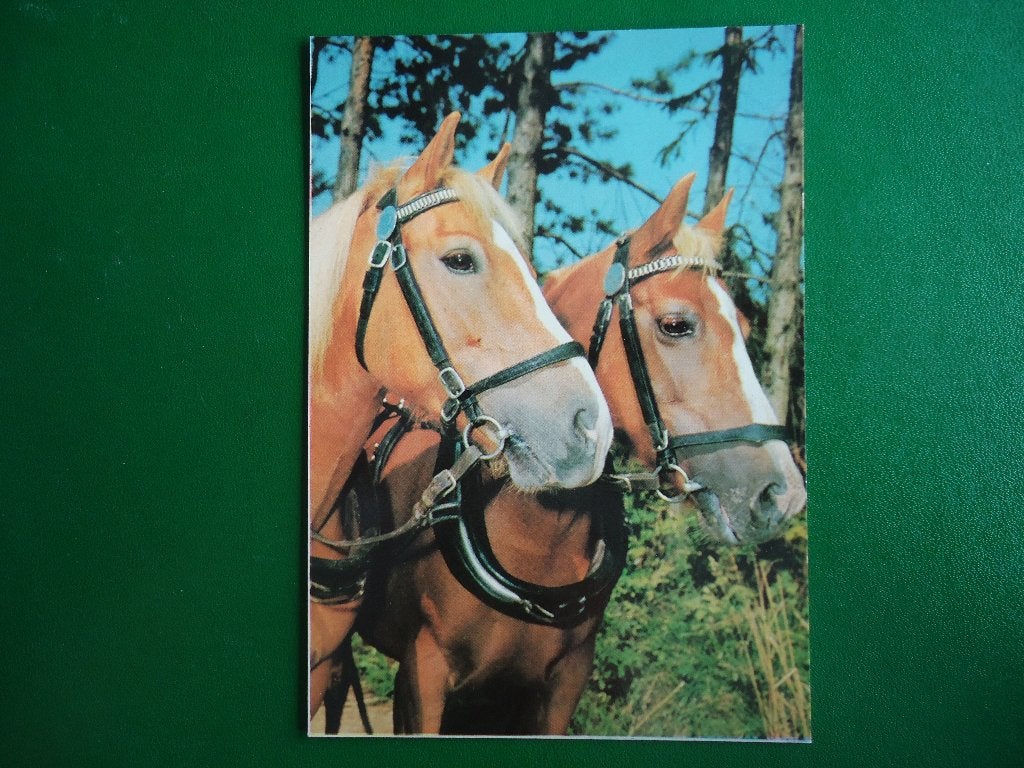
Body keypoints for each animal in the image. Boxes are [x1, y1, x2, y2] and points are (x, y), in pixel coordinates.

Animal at [346, 172, 806, 734]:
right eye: (676, 325)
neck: (539, 531)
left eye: (743, 325)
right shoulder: (423, 677)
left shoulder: (557, 689)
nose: (780, 493)